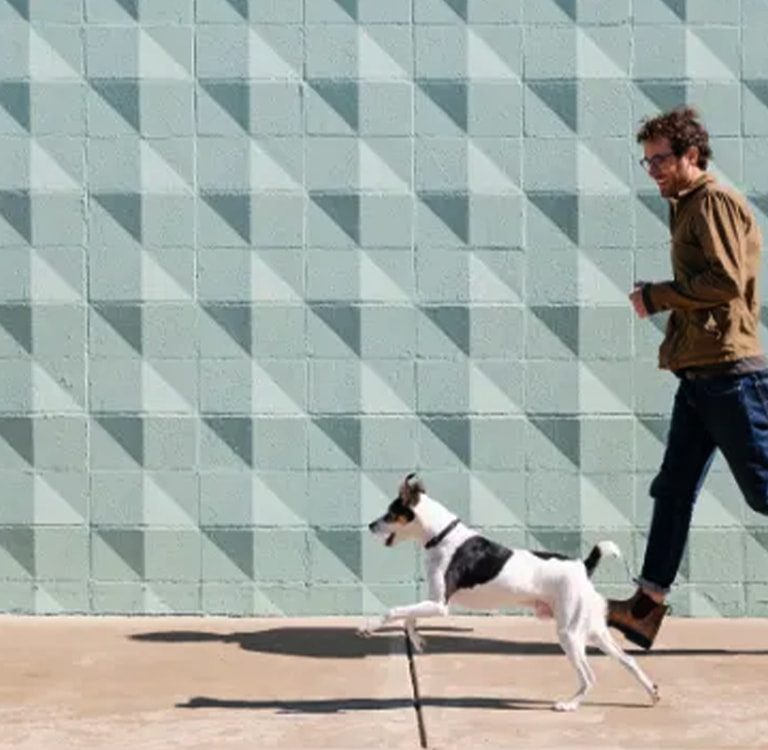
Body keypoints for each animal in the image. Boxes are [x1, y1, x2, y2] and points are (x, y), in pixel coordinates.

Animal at [356, 472, 656, 712]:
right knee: (628, 660)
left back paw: (569, 704)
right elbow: (408, 618)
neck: (441, 535)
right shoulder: (434, 601)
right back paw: (651, 691)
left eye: (389, 513)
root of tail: (583, 565)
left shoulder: (440, 604)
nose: (370, 525)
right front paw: (417, 641)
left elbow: (394, 611)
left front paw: (368, 627)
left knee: (590, 675)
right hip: (592, 630)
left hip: (569, 634)